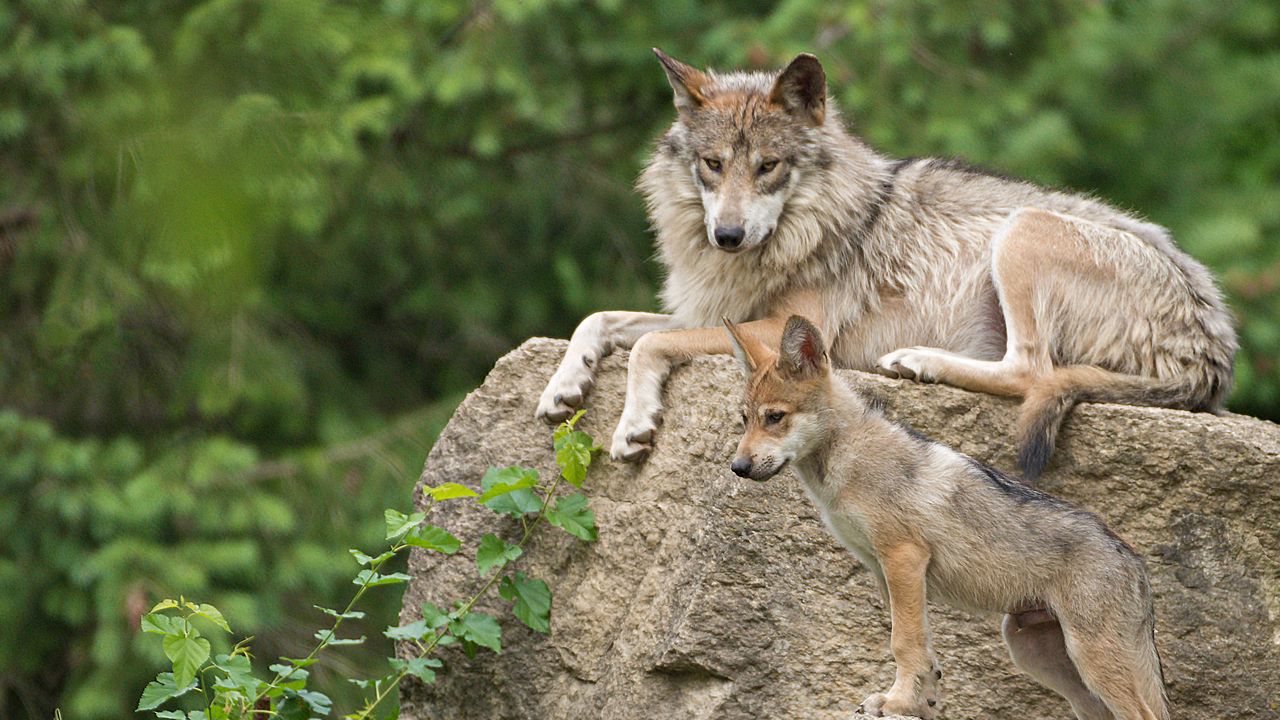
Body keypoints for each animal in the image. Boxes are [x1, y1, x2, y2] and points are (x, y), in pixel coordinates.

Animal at [535, 49, 1233, 476]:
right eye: (713, 164)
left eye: (768, 166)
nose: (727, 234)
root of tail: (1213, 354)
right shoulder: (711, 313)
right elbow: (600, 319)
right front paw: (563, 385)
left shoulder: (784, 330)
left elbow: (650, 345)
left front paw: (632, 424)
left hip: (1021, 231)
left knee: (1030, 370)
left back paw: (920, 362)